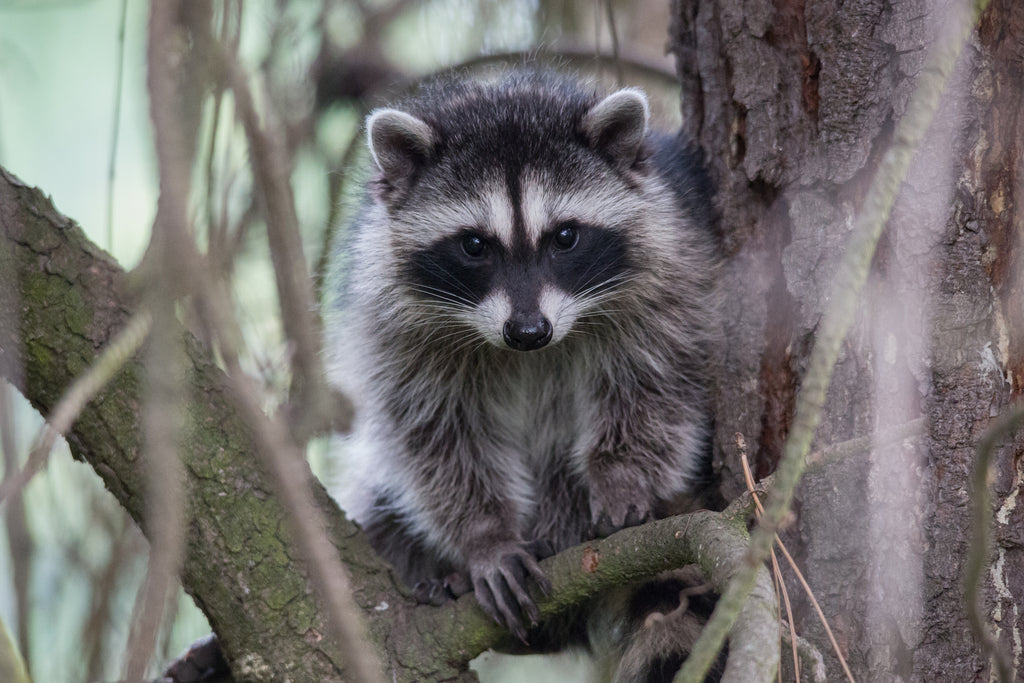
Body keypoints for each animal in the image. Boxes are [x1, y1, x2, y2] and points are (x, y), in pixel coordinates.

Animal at [324, 71, 722, 682]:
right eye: (474, 244)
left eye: (565, 236)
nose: (529, 331)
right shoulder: (395, 324)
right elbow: (433, 434)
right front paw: (485, 536)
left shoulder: (672, 269)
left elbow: (657, 380)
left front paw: (622, 474)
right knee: (382, 500)